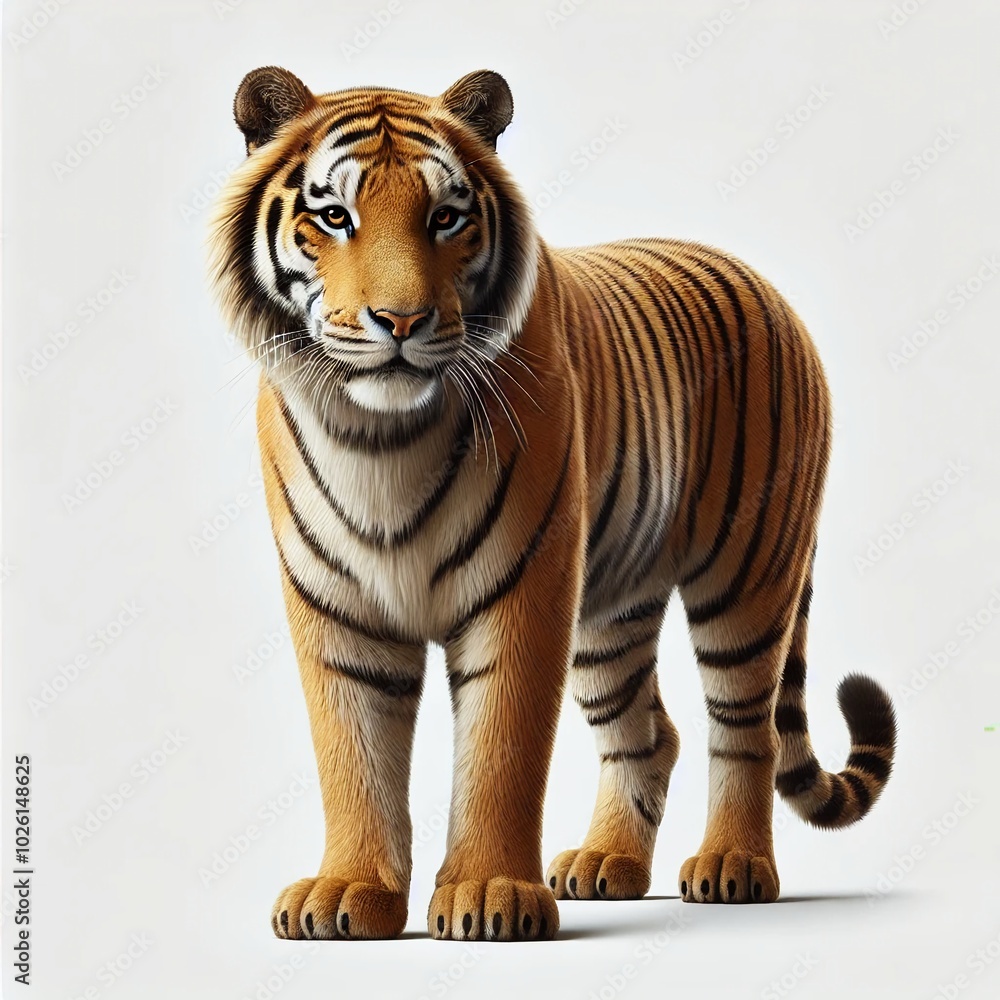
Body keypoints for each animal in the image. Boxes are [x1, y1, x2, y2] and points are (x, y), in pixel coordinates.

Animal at [209, 66, 897, 942]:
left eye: (446, 217)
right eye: (334, 216)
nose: (401, 321)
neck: (380, 436)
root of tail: (761, 282)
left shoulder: (525, 585)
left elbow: (502, 748)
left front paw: (490, 894)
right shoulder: (337, 605)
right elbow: (351, 755)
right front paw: (346, 892)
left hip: (748, 573)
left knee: (748, 729)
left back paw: (733, 867)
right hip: (613, 610)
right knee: (649, 733)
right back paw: (607, 865)